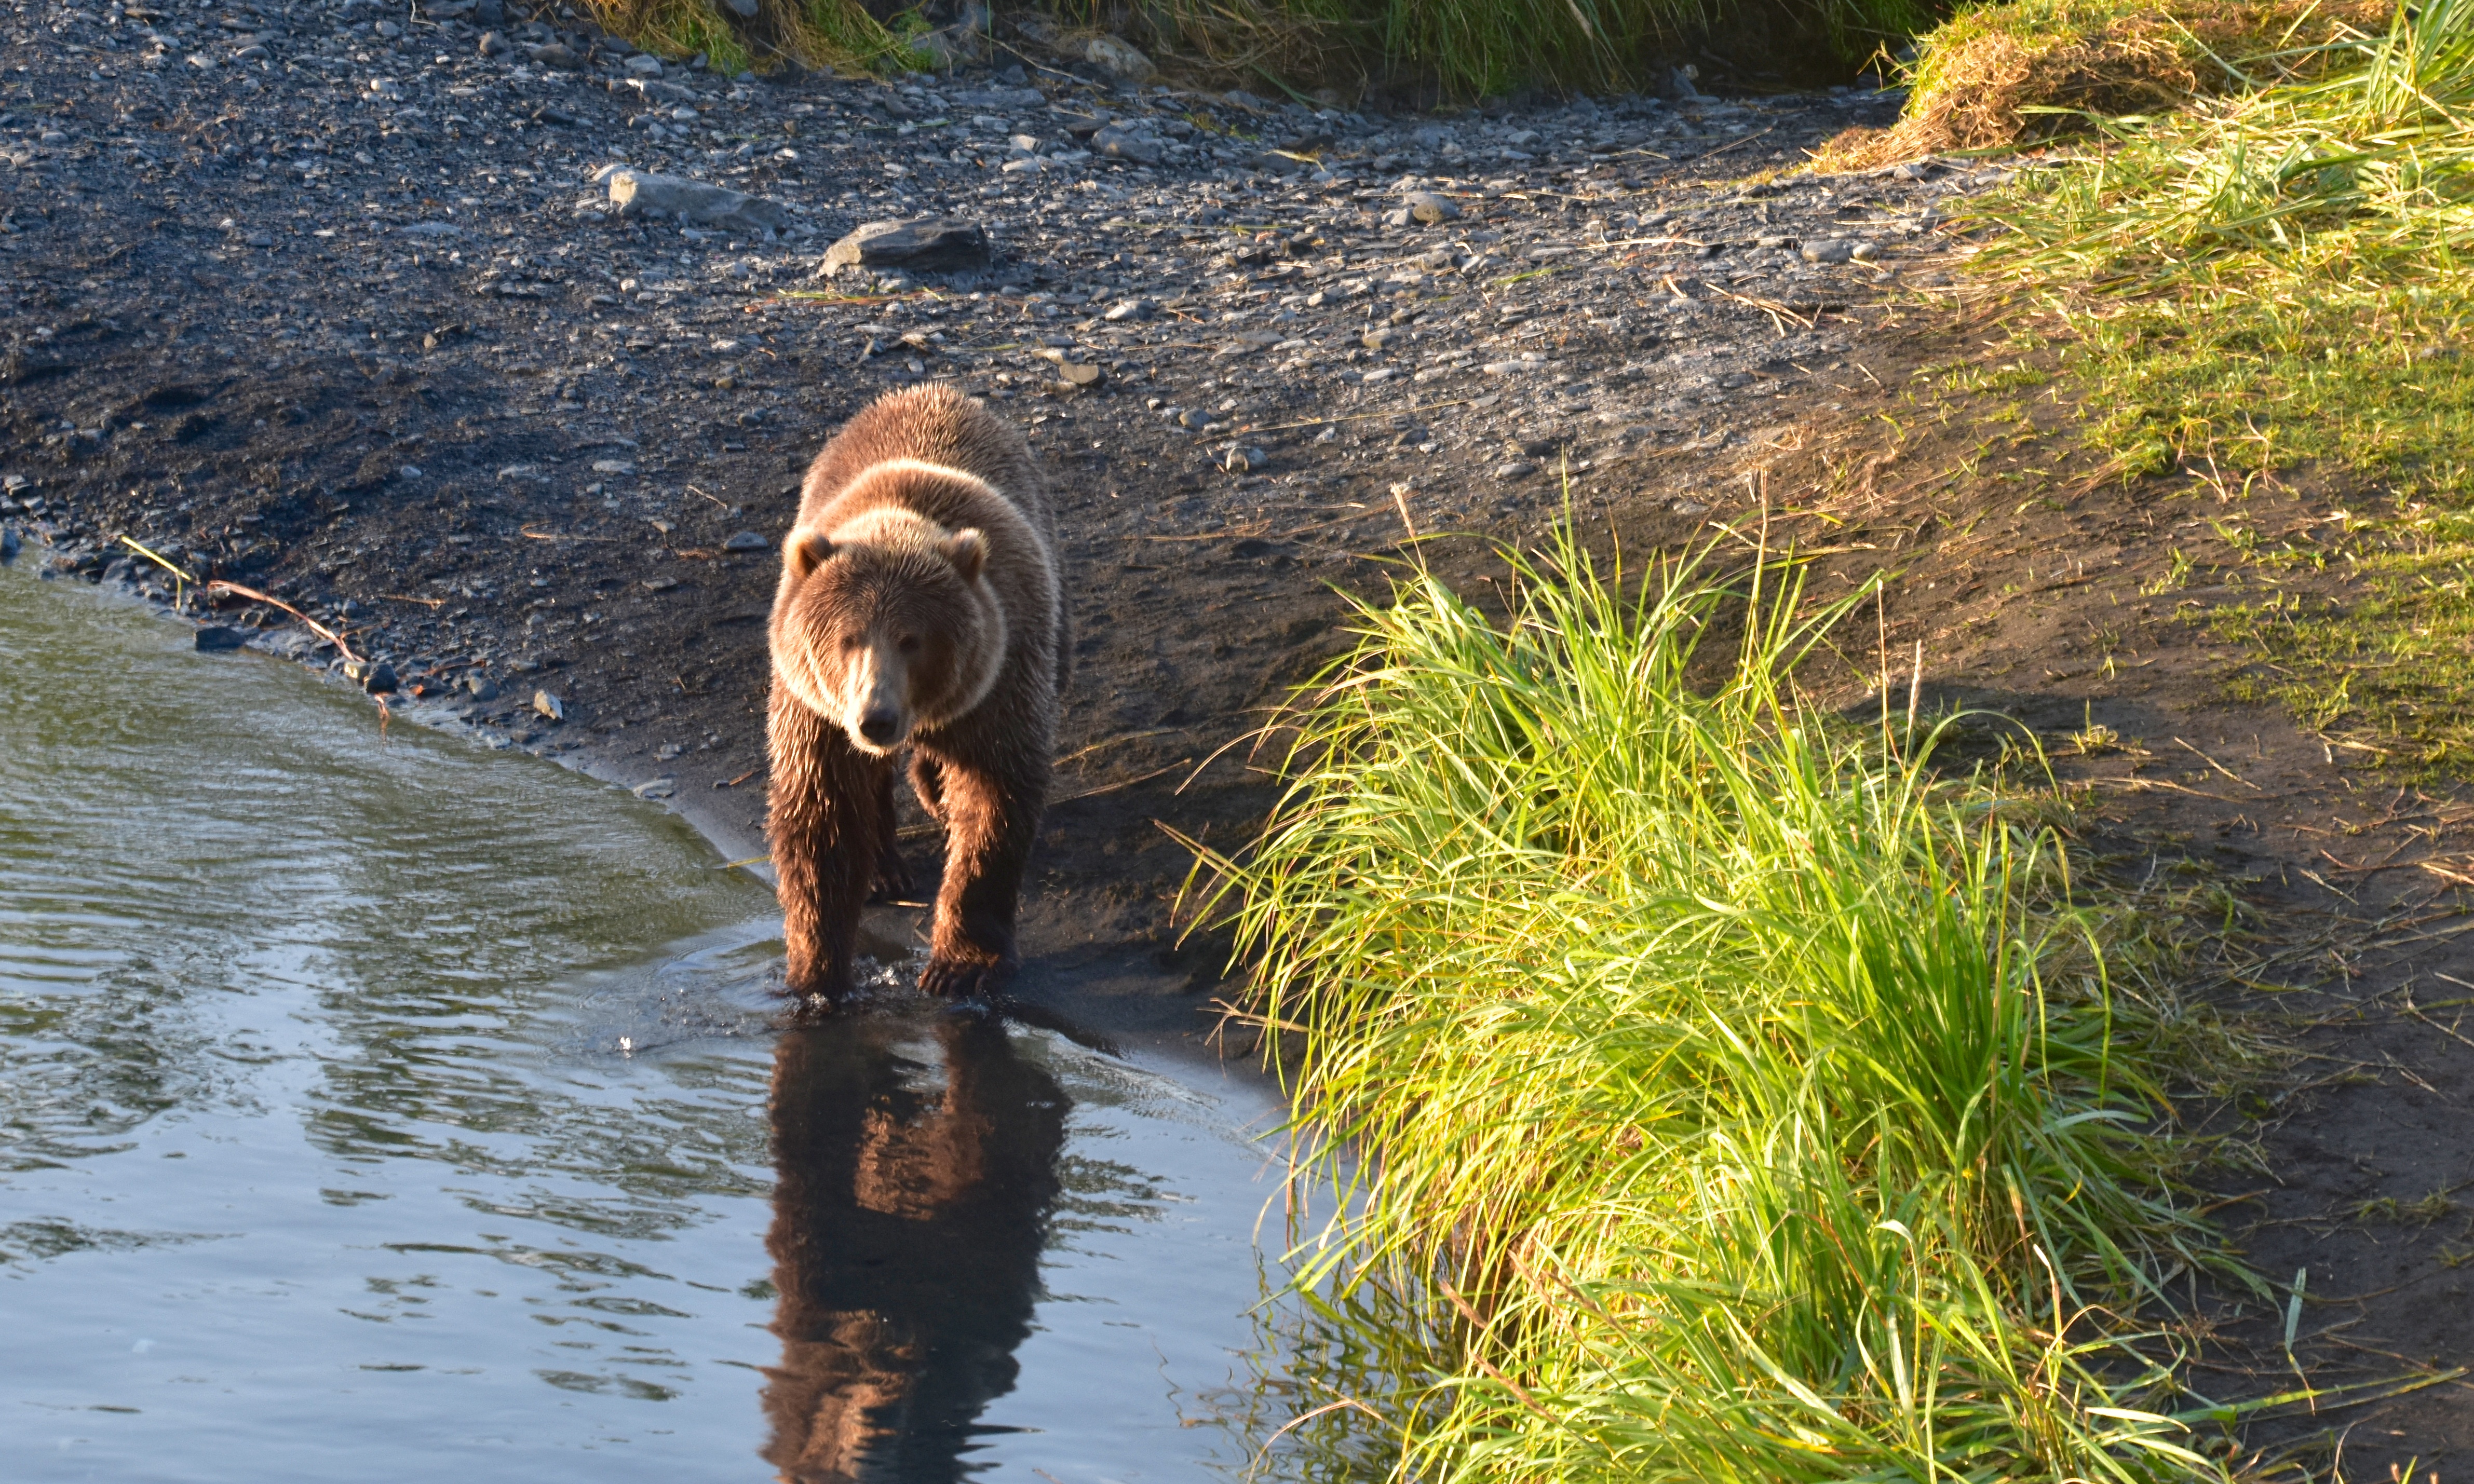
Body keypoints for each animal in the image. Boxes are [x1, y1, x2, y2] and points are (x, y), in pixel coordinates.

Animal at [765, 384, 1067, 1001]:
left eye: (912, 639)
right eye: (848, 637)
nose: (875, 718)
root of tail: (930, 391)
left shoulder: (1001, 675)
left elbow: (993, 800)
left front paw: (961, 963)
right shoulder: (814, 711)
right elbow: (822, 817)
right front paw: (817, 972)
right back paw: (885, 868)